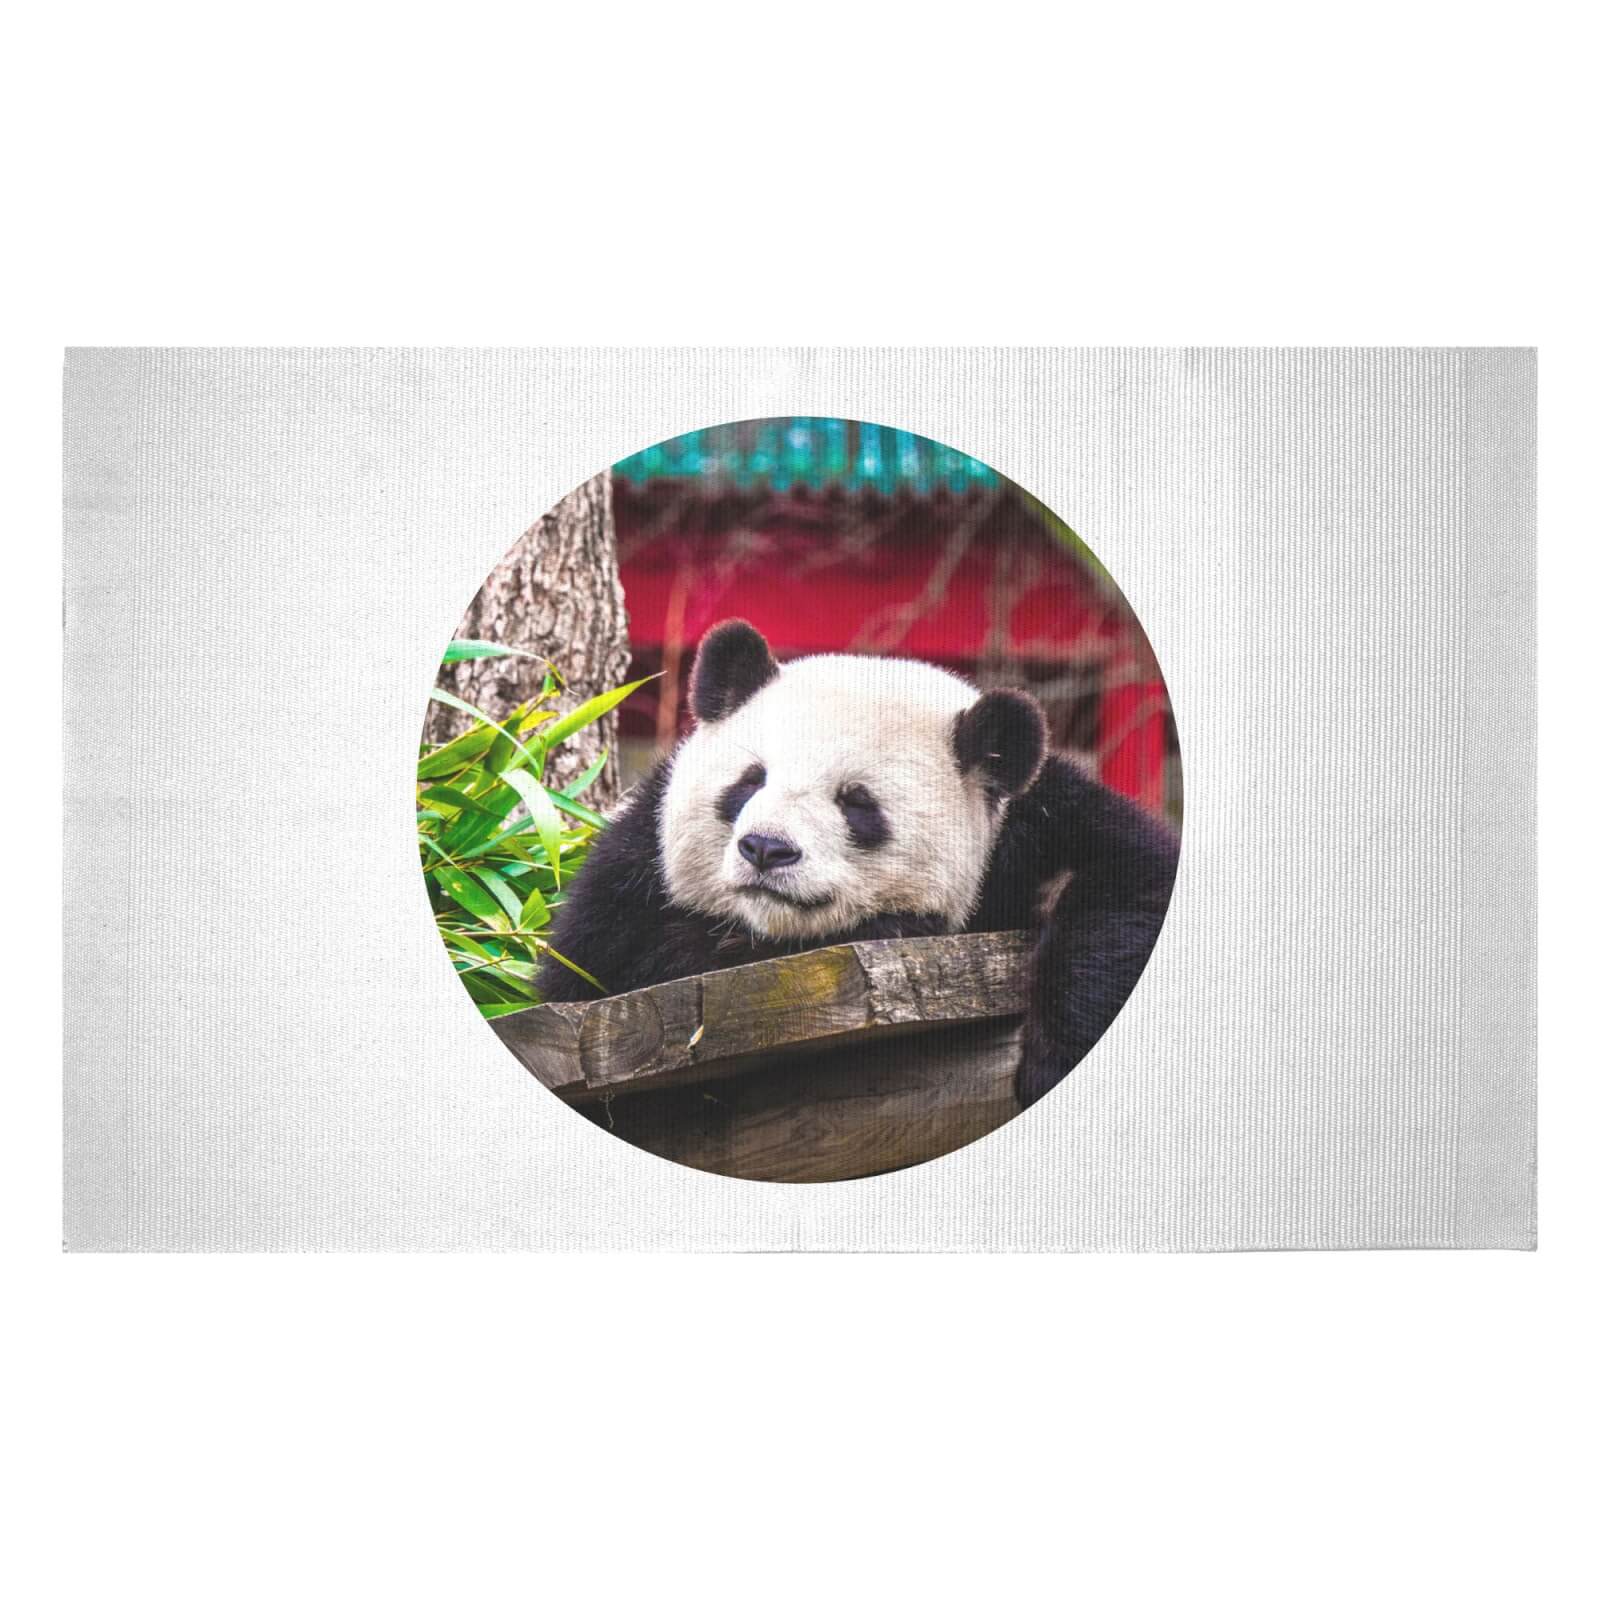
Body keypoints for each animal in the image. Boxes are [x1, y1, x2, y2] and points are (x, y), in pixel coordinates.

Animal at [536, 619, 1179, 1107]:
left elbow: (1127, 879)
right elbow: (608, 966)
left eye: (857, 802)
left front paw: (1052, 1060)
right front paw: (898, 926)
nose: (766, 849)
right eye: (751, 781)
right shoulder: (629, 876)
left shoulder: (1038, 822)